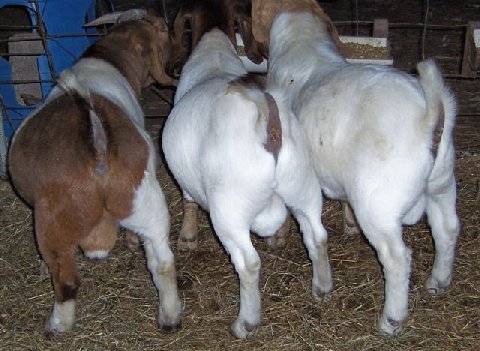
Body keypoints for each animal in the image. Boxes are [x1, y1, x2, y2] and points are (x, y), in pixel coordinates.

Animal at [8, 8, 182, 336]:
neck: (108, 57)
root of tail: (99, 146)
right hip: (146, 202)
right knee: (162, 262)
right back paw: (170, 317)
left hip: (52, 223)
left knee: (66, 280)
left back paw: (57, 325)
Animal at [161, 28, 330, 340]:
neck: (214, 61)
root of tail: (267, 120)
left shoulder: (186, 182)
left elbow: (188, 200)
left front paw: (187, 238)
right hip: (303, 186)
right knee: (318, 234)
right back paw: (322, 286)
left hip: (230, 211)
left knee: (249, 263)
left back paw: (245, 323)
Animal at [264, 6, 460, 336]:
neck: (303, 45)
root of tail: (427, 117)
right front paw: (348, 223)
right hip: (442, 181)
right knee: (447, 228)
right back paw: (438, 282)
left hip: (378, 204)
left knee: (397, 258)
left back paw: (391, 321)